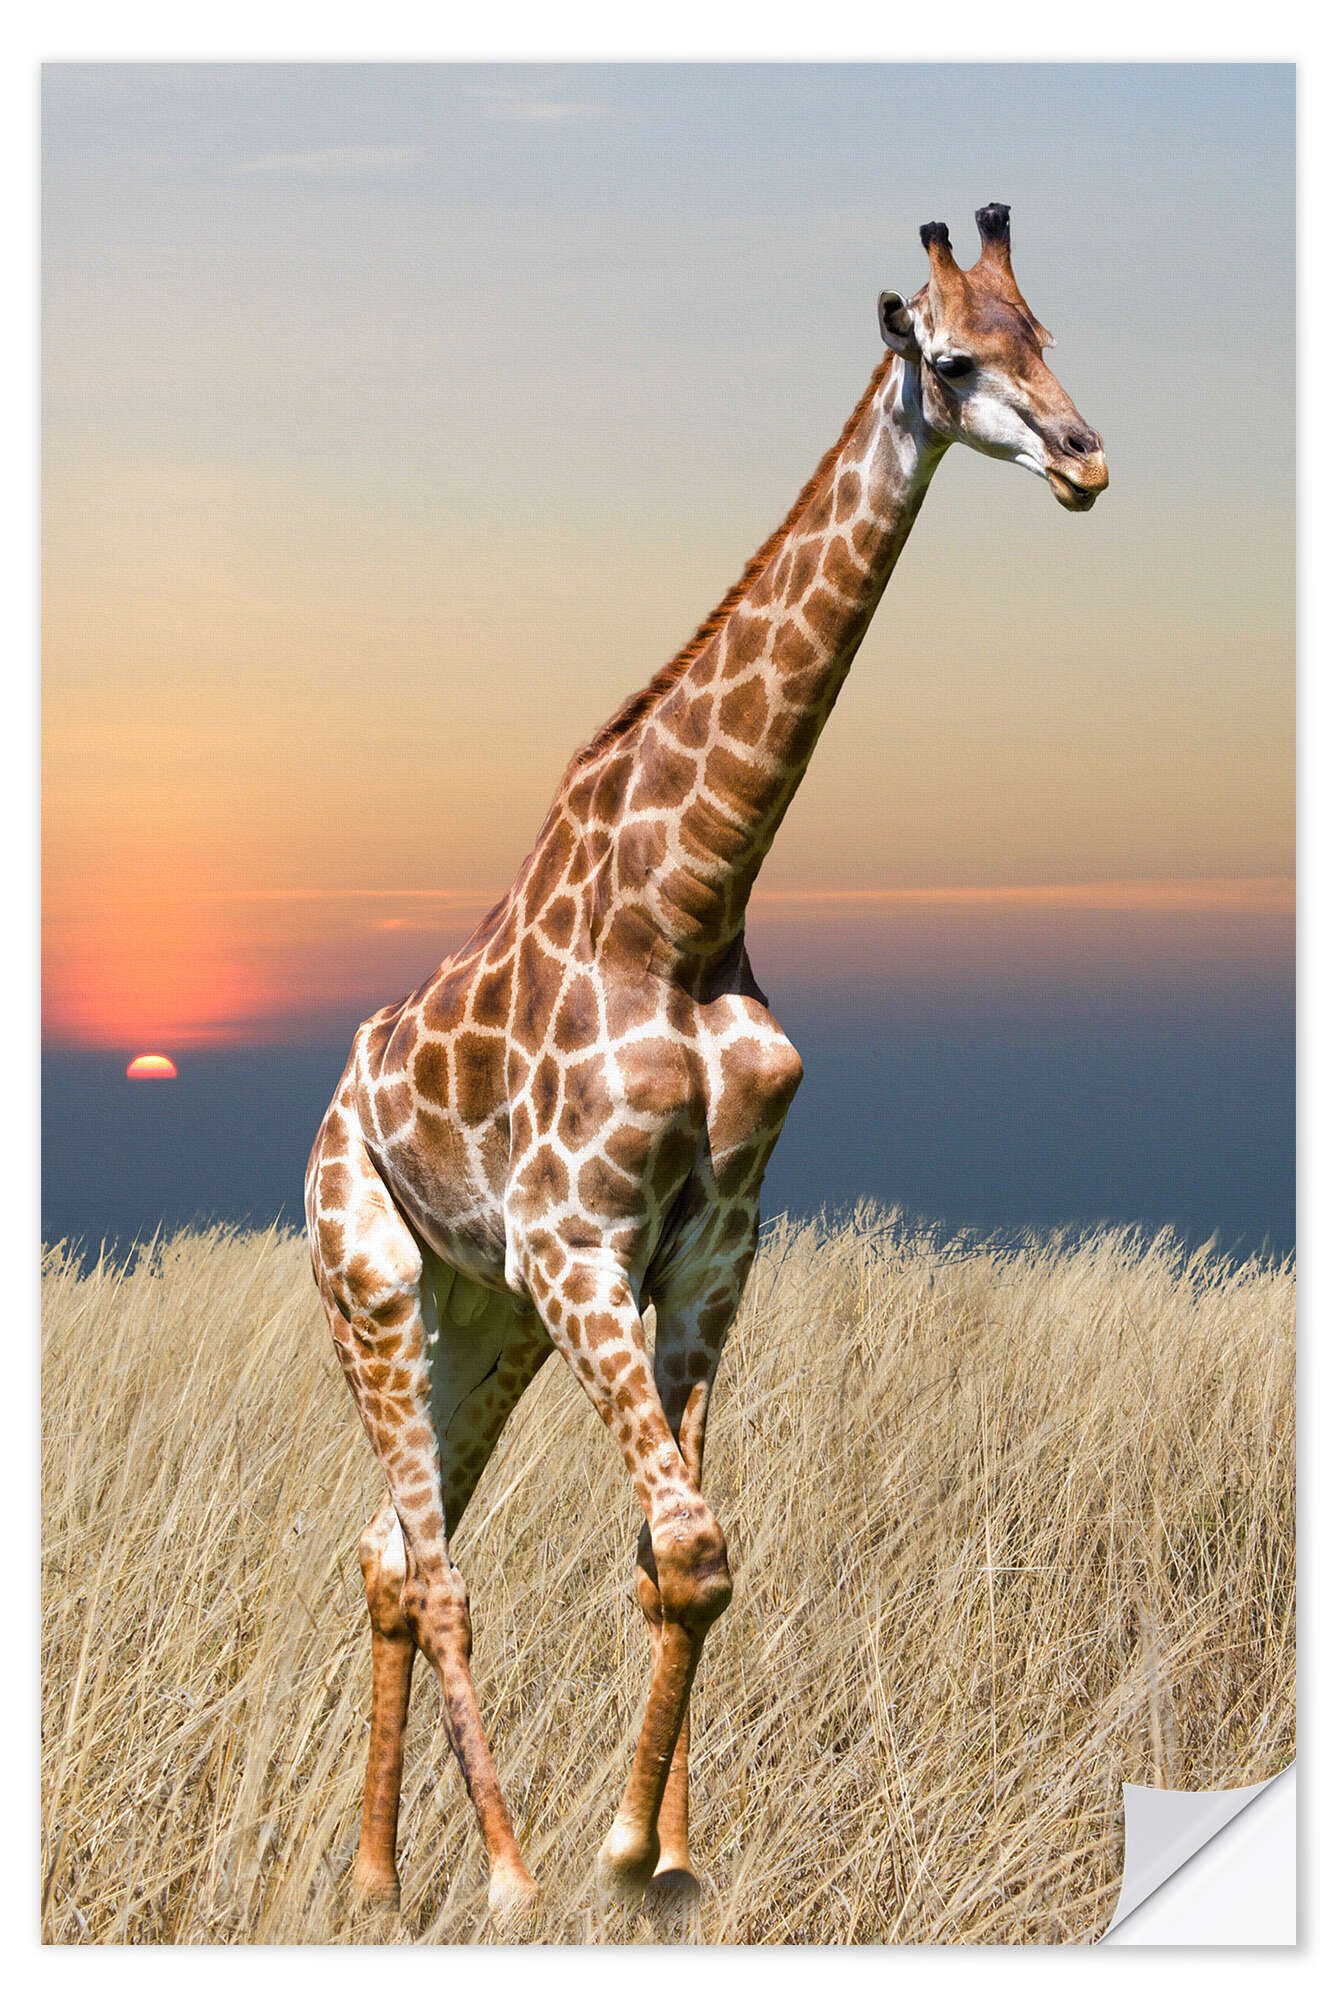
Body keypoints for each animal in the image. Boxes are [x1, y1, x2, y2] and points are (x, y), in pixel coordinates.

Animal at [305, 204, 1107, 1920]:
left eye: (1045, 336)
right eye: (954, 362)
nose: (1085, 459)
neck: (688, 903)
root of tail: (336, 1105)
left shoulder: (709, 1248)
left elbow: (680, 1563)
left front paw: (665, 1857)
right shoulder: (580, 1245)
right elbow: (684, 1547)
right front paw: (606, 1857)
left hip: (486, 1320)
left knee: (392, 1556)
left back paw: (379, 1880)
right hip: (375, 1287)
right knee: (431, 1566)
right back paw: (499, 1874)